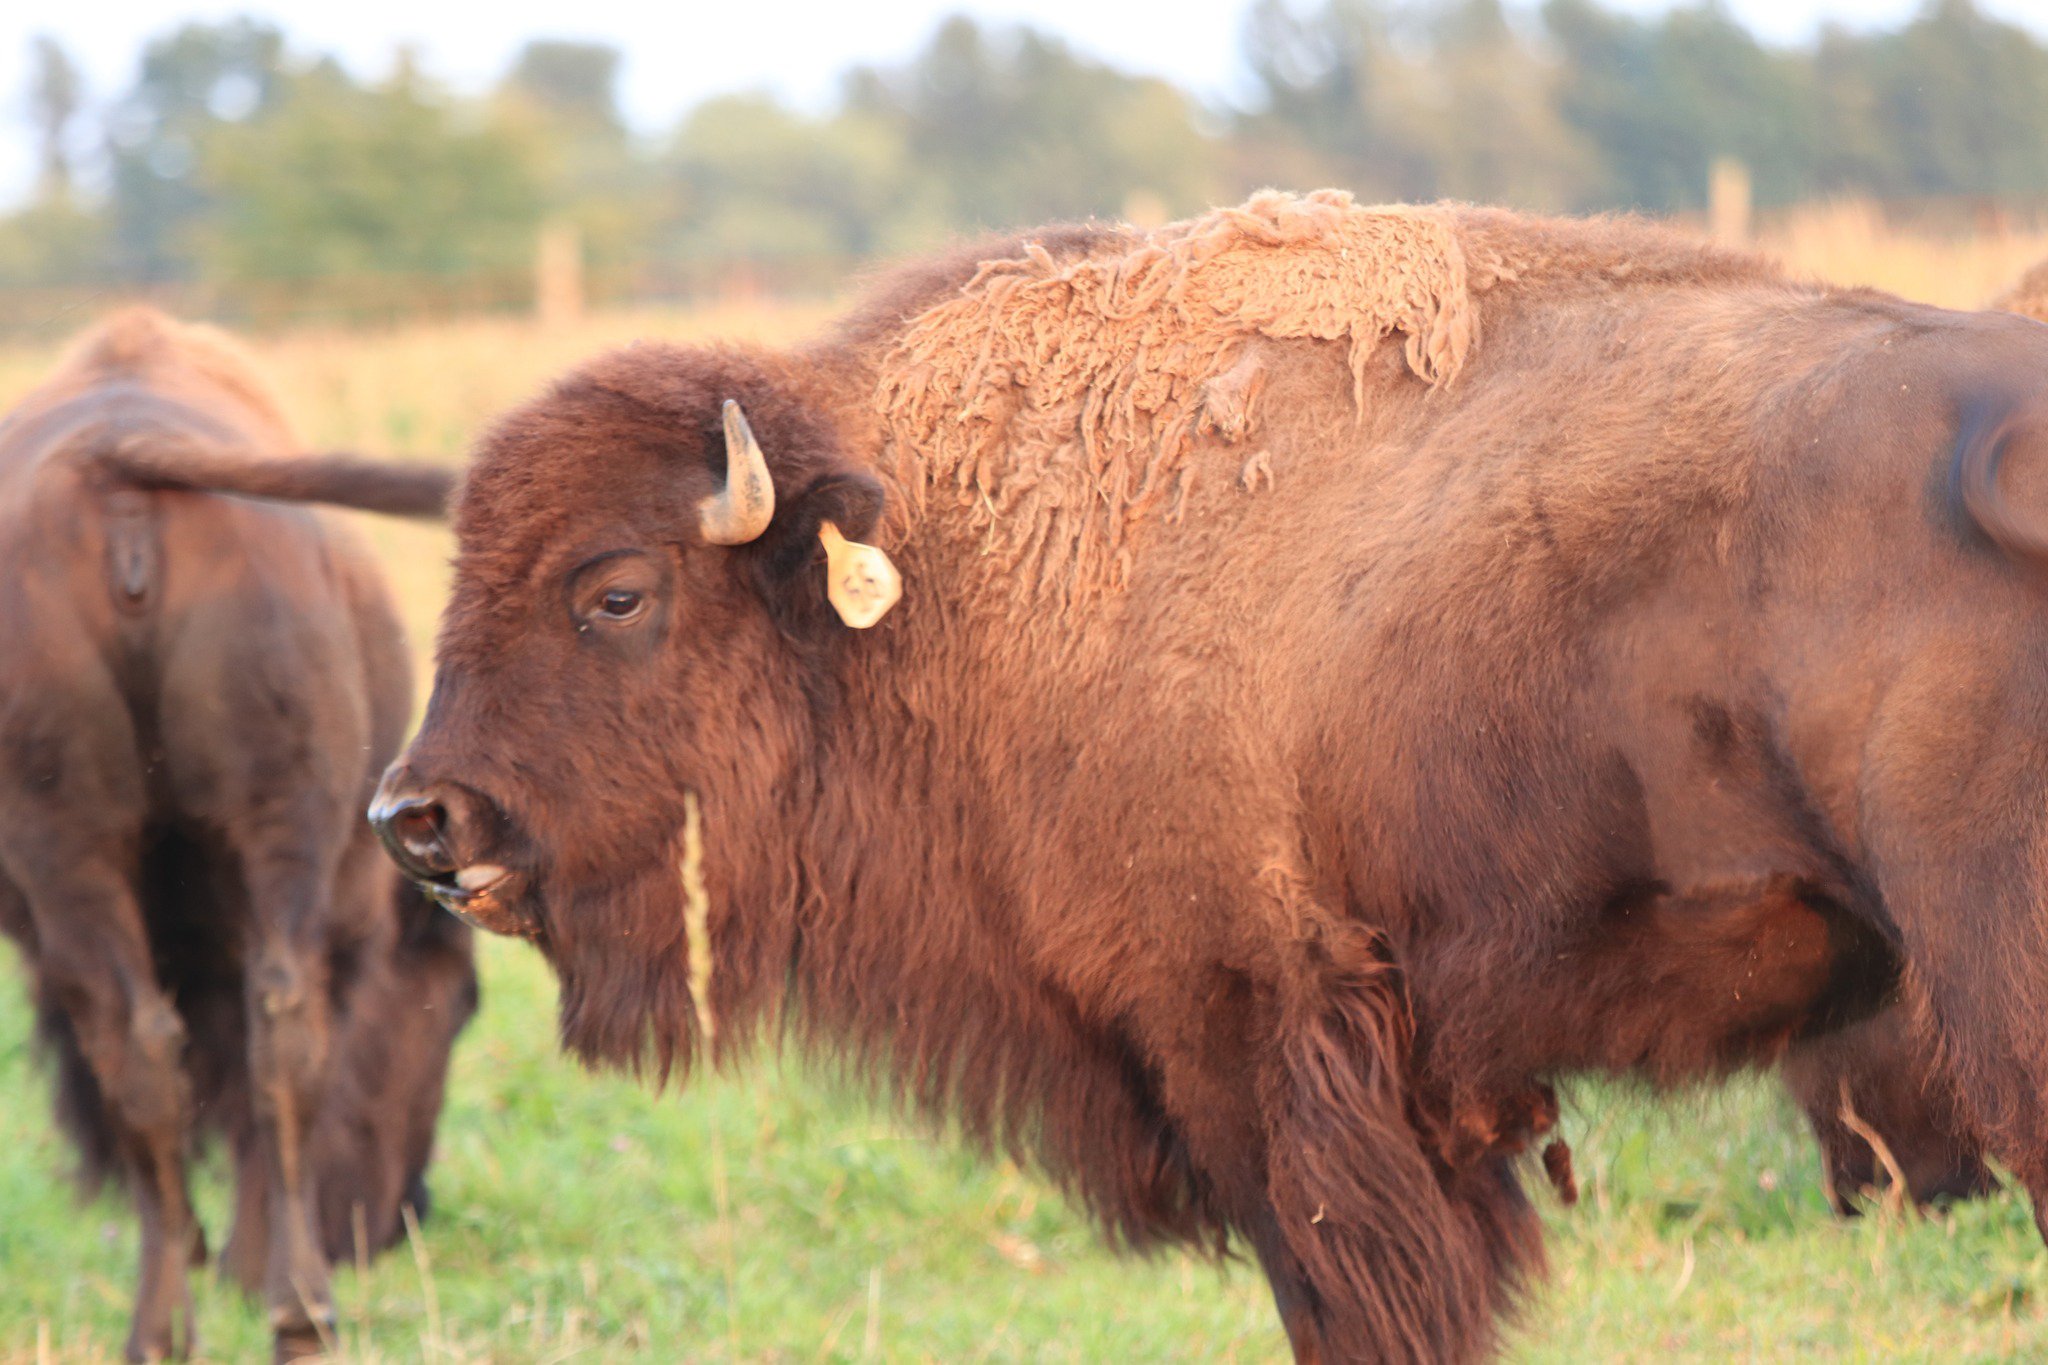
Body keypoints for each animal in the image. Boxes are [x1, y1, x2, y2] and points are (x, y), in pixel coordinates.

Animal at [0, 308, 474, 1362]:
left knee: (190, 1041)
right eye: (460, 1007)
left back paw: (211, 1315)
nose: (406, 1216)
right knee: (251, 1036)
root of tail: (118, 457)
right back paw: (273, 1310)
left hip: (99, 841)